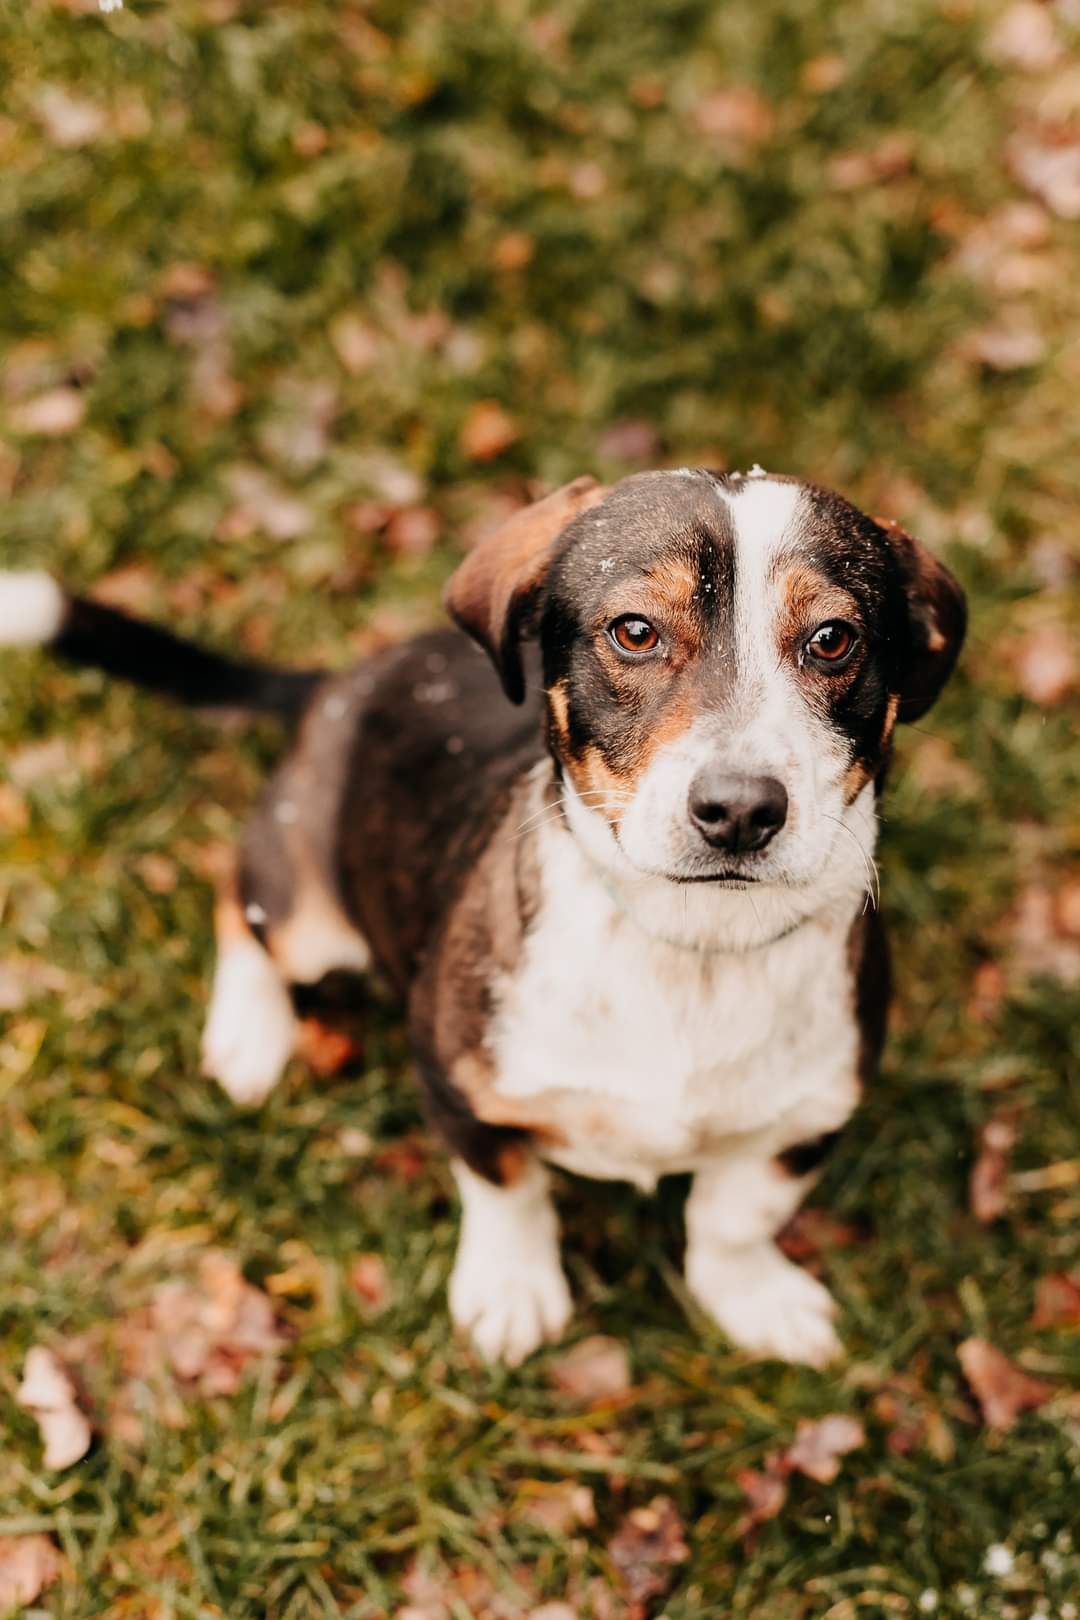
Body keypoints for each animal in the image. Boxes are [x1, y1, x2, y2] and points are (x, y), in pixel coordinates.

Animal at [0, 466, 965, 1367]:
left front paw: (753, 1297)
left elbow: (734, 1220)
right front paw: (511, 1289)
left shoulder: (808, 1119)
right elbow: (508, 1191)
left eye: (833, 639)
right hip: (309, 912)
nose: (738, 811)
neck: (692, 945)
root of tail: (341, 682)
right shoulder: (457, 1082)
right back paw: (249, 1034)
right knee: (236, 901)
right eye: (635, 631)